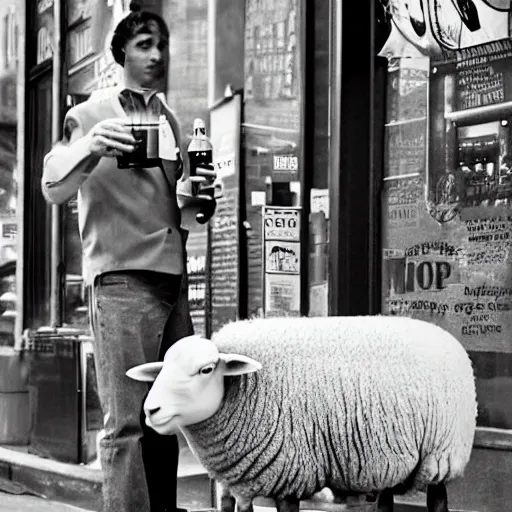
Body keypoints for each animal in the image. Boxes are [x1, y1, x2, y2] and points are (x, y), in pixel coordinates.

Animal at [127, 316, 476, 512]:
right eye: (162, 368)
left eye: (206, 369)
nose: (151, 409)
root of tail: (444, 334)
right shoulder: (236, 476)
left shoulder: (289, 470)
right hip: (390, 459)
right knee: (386, 499)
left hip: (441, 454)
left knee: (438, 499)